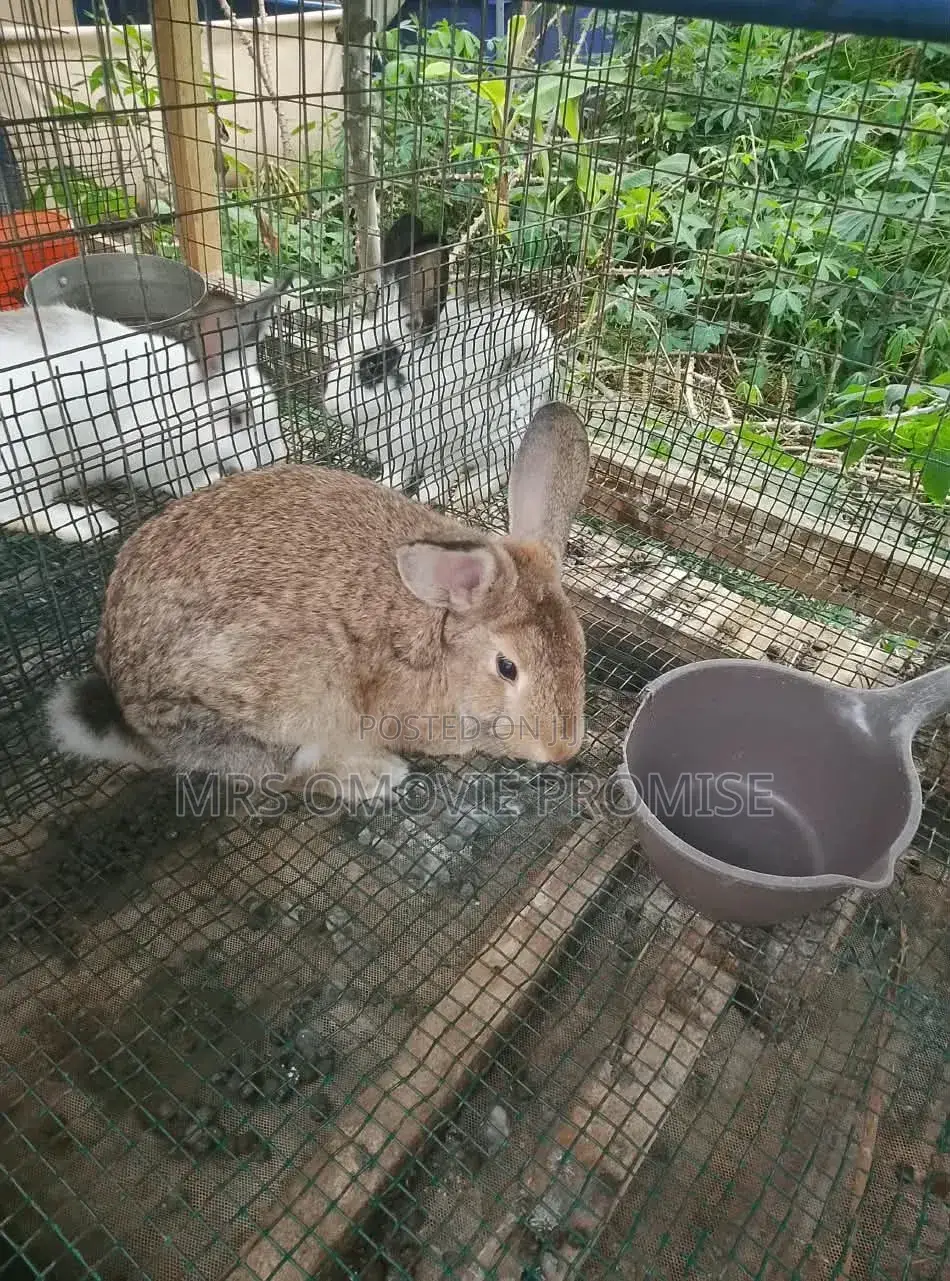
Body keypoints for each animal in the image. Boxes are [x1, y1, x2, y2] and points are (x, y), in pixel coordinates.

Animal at [0, 272, 293, 544]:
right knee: (20, 512)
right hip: (28, 459)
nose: (275, 460)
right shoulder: (147, 457)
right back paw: (93, 524)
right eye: (236, 418)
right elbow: (179, 479)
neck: (180, 407)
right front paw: (208, 482)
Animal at [45, 401, 591, 810]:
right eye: (506, 667)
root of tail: (130, 716)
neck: (437, 630)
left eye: (581, 648)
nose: (561, 749)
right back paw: (371, 775)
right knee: (283, 774)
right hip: (285, 699)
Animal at [321, 215, 557, 513]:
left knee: (501, 469)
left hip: (507, 430)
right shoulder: (399, 454)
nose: (330, 405)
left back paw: (469, 492)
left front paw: (424, 497)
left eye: (374, 366)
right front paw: (383, 485)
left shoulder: (450, 448)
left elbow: (439, 476)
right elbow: (396, 473)